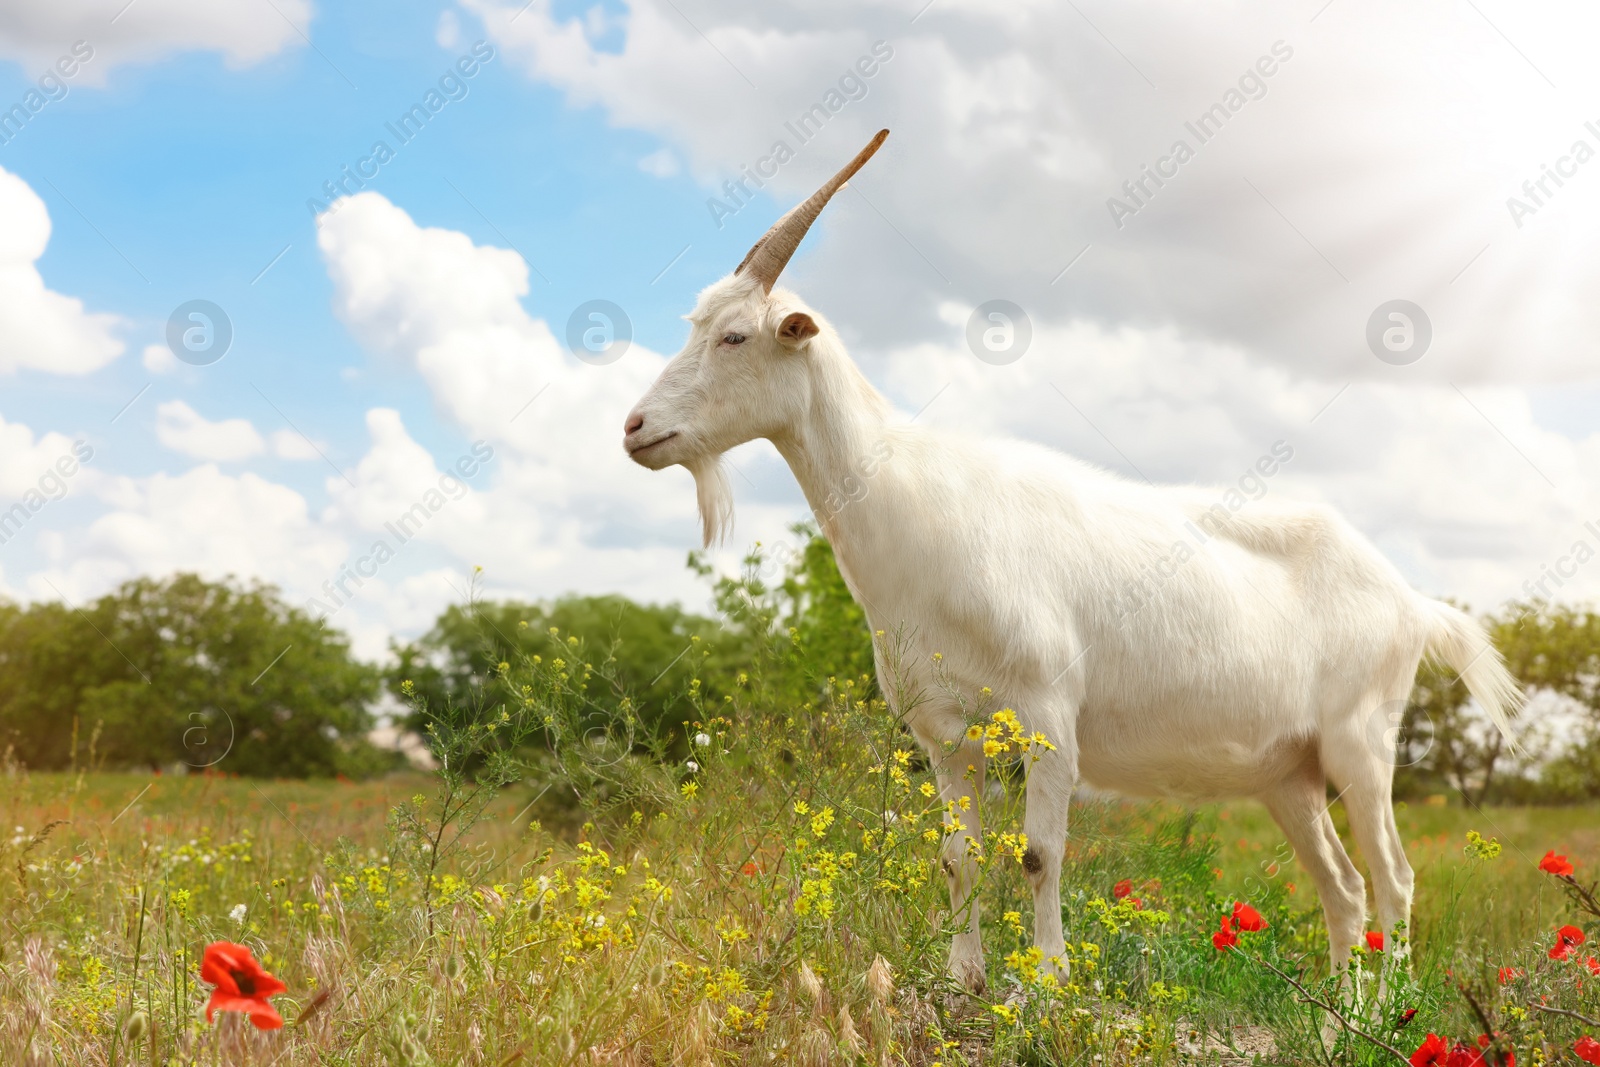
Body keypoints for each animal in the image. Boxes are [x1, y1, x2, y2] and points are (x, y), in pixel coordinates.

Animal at [617, 131, 1516, 991]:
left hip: (1362, 740)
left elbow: (1039, 854)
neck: (917, 507)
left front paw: (1048, 979)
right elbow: (957, 855)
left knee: (1393, 877)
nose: (634, 427)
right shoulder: (944, 730)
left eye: (735, 335)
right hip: (1288, 773)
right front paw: (964, 974)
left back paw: (1390, 1010)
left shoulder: (1048, 710)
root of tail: (1412, 600)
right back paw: (1337, 1017)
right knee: (1343, 886)